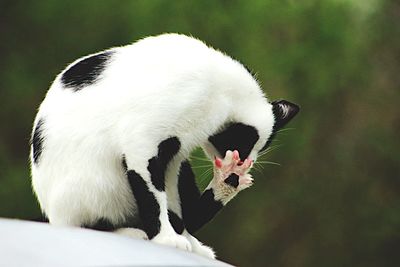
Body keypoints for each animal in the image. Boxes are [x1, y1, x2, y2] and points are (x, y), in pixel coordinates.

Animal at [29, 33, 298, 260]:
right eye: (242, 143)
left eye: (261, 148)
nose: (244, 162)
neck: (219, 93)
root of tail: (53, 215)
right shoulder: (142, 144)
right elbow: (153, 195)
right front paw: (167, 238)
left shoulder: (173, 156)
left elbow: (172, 203)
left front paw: (182, 237)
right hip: (94, 188)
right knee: (89, 223)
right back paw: (134, 232)